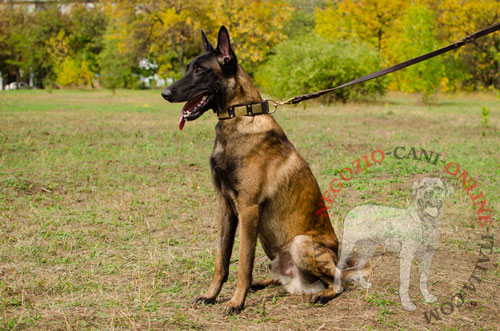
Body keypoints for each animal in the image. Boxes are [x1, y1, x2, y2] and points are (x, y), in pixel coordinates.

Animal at [162, 27, 358, 316]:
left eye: (199, 70)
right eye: (188, 68)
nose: (164, 93)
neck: (239, 116)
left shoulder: (248, 209)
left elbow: (243, 264)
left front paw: (236, 302)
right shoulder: (225, 207)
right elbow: (222, 261)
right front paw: (211, 295)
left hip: (301, 244)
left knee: (338, 281)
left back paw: (321, 295)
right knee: (281, 279)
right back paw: (263, 284)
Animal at [334, 178, 456, 312]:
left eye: (438, 188)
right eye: (422, 187)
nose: (428, 193)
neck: (427, 223)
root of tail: (352, 210)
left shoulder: (428, 256)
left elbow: (423, 278)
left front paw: (427, 297)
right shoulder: (406, 256)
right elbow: (405, 282)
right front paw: (407, 304)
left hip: (368, 249)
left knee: (358, 266)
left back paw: (364, 285)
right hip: (348, 246)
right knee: (339, 266)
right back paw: (337, 288)